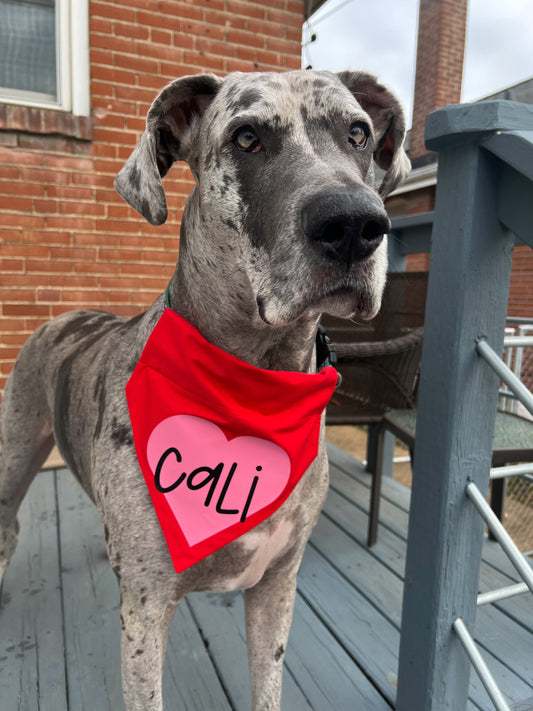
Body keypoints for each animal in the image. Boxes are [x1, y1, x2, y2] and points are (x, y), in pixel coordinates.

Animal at [0, 69, 410, 708]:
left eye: (359, 134)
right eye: (246, 138)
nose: (355, 225)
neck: (256, 384)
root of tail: (57, 317)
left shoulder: (276, 585)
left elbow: (268, 685)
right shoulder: (145, 616)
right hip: (14, 456)